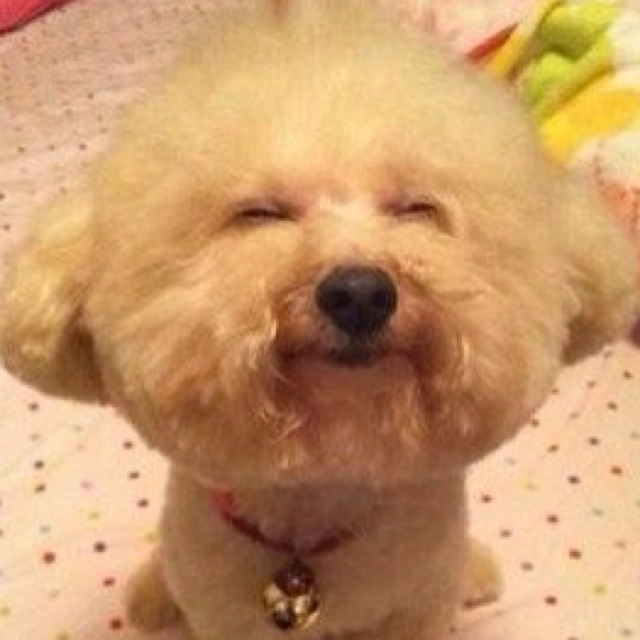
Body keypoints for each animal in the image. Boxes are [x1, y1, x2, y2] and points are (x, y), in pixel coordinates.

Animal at [1, 1, 638, 639]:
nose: (359, 294)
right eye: (260, 214)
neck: (319, 493)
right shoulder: (222, 614)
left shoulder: (419, 605)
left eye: (418, 209)